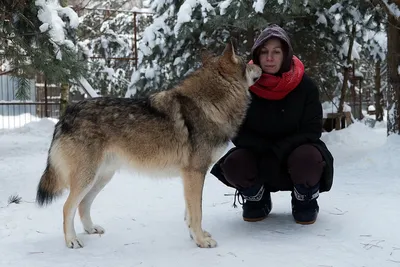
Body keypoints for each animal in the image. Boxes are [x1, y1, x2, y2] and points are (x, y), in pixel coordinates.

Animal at [36, 42, 264, 249]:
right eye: (246, 62)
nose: (259, 65)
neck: (211, 103)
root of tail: (66, 115)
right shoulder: (194, 173)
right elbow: (197, 213)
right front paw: (201, 241)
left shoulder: (189, 176)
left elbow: (189, 214)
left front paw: (194, 236)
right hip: (87, 178)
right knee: (67, 207)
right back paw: (72, 241)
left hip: (101, 178)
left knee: (83, 204)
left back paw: (91, 229)